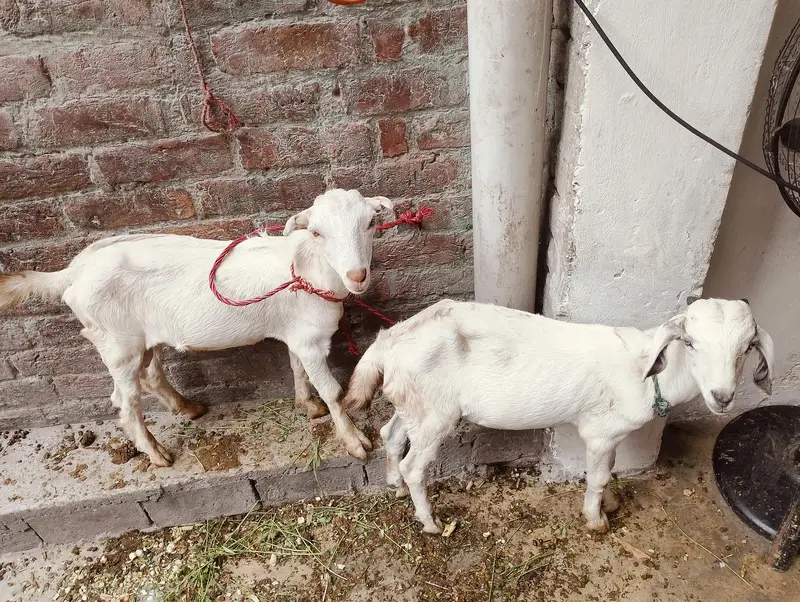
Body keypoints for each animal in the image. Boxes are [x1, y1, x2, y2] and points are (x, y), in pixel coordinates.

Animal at [0, 189, 392, 467]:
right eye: (316, 232)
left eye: (370, 224)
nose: (357, 275)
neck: (309, 270)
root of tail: (74, 271)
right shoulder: (311, 340)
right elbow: (331, 389)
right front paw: (354, 440)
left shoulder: (295, 332)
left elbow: (296, 368)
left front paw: (307, 406)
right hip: (117, 344)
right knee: (125, 402)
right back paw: (157, 454)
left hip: (143, 339)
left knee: (152, 375)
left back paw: (187, 408)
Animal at [343, 297, 774, 534]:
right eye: (691, 342)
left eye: (747, 347)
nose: (723, 397)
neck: (647, 372)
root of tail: (388, 341)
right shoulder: (600, 433)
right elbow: (598, 476)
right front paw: (596, 519)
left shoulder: (612, 437)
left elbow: (611, 471)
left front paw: (610, 504)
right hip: (435, 415)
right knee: (416, 465)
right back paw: (430, 522)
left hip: (415, 403)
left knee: (391, 434)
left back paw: (395, 485)